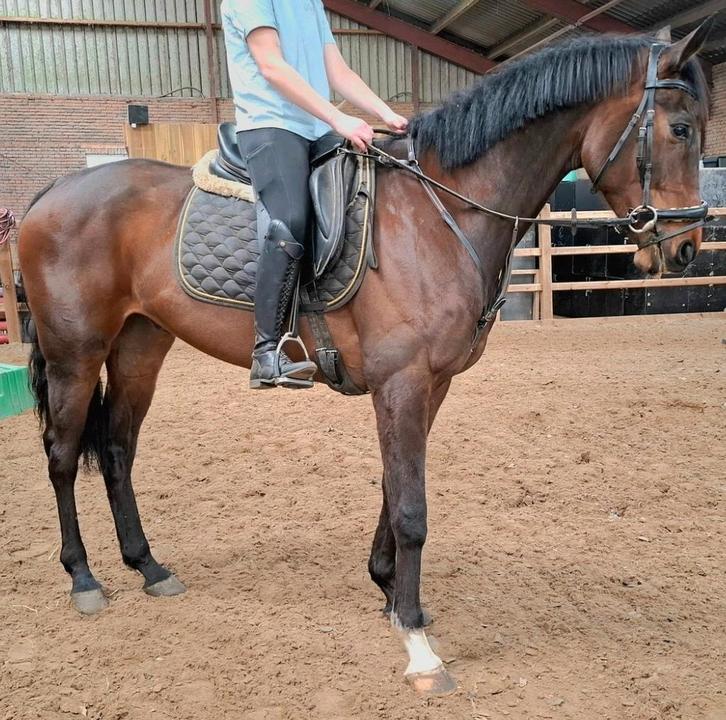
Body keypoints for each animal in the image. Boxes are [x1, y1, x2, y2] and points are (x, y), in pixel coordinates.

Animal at [17, 24, 711, 695]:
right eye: (680, 129)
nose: (686, 249)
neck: (440, 212)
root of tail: (55, 190)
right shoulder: (401, 382)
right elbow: (411, 509)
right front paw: (418, 643)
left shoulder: (430, 385)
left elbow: (392, 485)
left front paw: (389, 591)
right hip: (75, 354)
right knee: (61, 457)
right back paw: (84, 578)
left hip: (140, 345)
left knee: (116, 452)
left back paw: (148, 566)